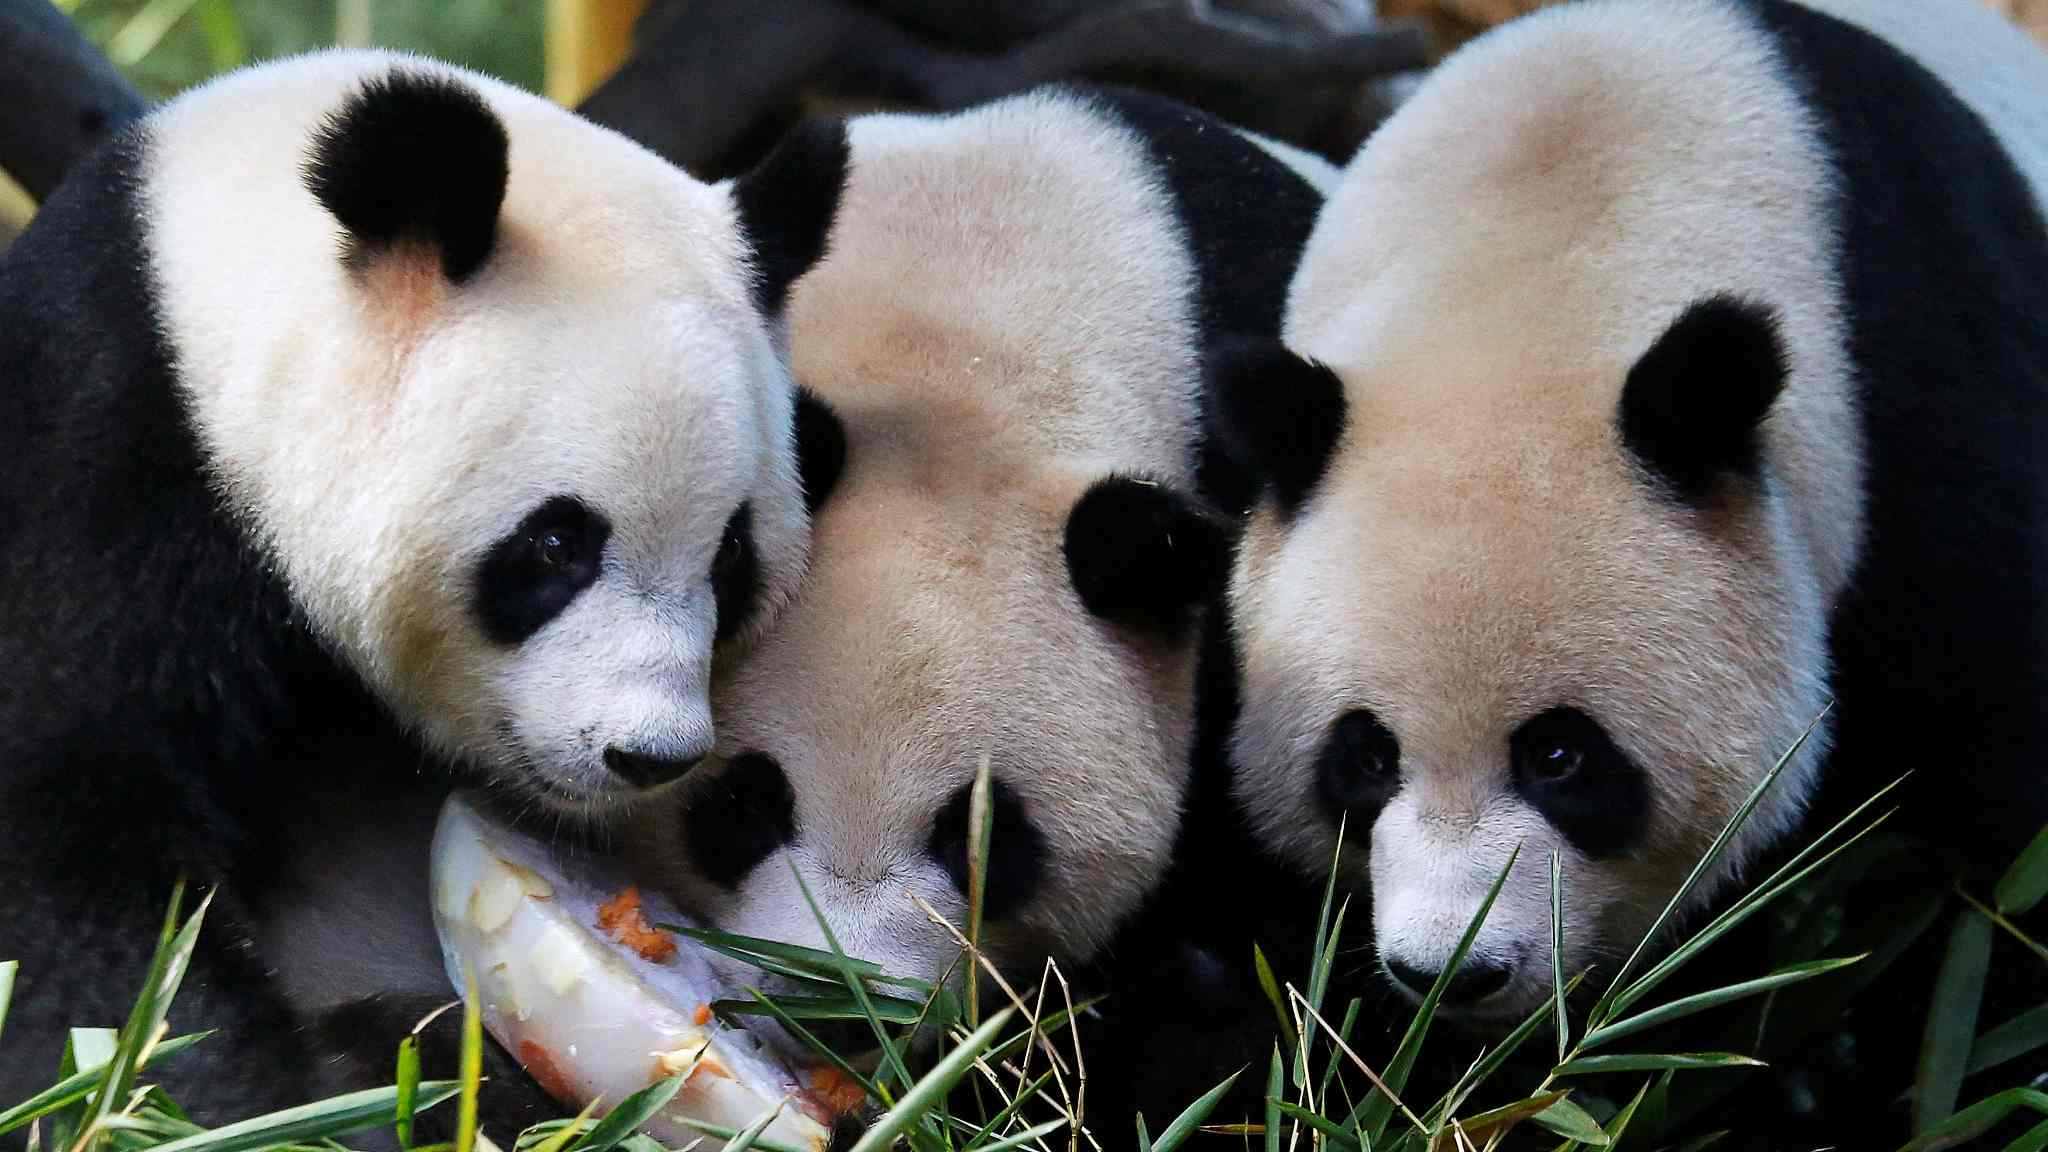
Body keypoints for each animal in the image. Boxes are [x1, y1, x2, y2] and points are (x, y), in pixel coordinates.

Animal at [0, 51, 839, 1115]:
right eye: (556, 545)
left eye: (731, 556)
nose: (649, 755)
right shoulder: (98, 461)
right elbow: (67, 844)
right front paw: (227, 1099)